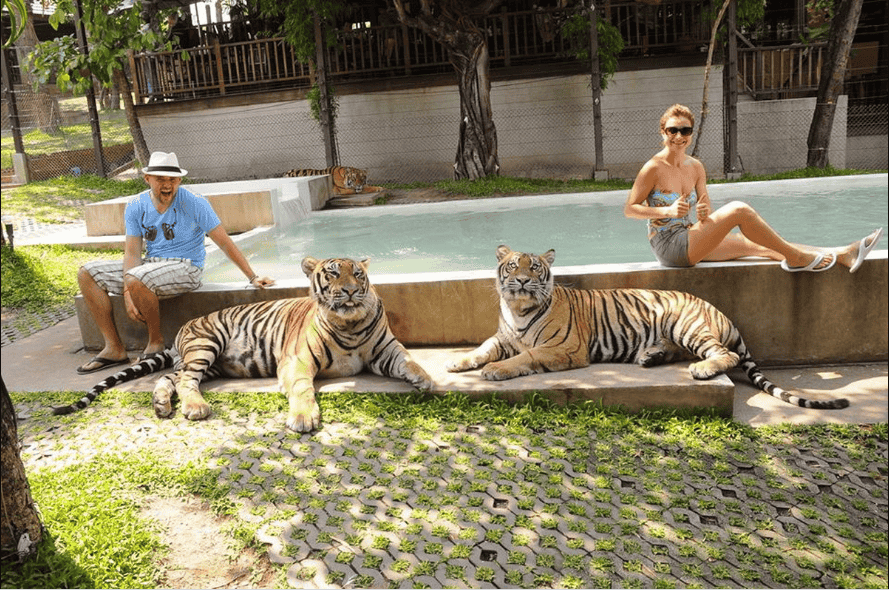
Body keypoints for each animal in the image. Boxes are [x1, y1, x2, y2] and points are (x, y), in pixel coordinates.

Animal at [55, 256, 434, 432]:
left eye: (358, 274)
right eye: (332, 273)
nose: (352, 292)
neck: (350, 323)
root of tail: (183, 330)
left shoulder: (385, 351)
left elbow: (409, 360)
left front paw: (426, 378)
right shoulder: (296, 361)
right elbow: (302, 388)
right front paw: (303, 418)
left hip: (207, 364)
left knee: (169, 379)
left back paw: (162, 404)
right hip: (206, 345)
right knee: (186, 382)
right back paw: (195, 408)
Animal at [446, 245, 849, 410]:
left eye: (535, 268)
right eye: (513, 266)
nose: (522, 281)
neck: (517, 309)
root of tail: (719, 311)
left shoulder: (564, 348)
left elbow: (523, 357)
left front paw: (495, 371)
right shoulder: (503, 337)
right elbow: (483, 348)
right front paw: (457, 362)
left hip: (687, 325)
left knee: (726, 354)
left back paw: (701, 369)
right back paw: (650, 357)